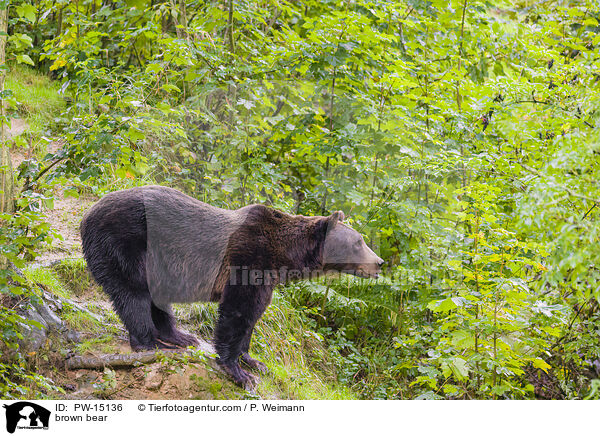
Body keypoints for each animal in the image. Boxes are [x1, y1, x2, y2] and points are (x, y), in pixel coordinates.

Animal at [79, 184, 382, 388]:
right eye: (359, 242)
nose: (379, 263)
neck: (284, 255)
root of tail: (86, 215)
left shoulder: (267, 278)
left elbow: (253, 315)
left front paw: (254, 360)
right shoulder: (248, 259)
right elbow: (237, 311)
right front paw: (240, 372)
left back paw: (179, 336)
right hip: (124, 244)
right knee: (134, 294)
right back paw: (150, 343)